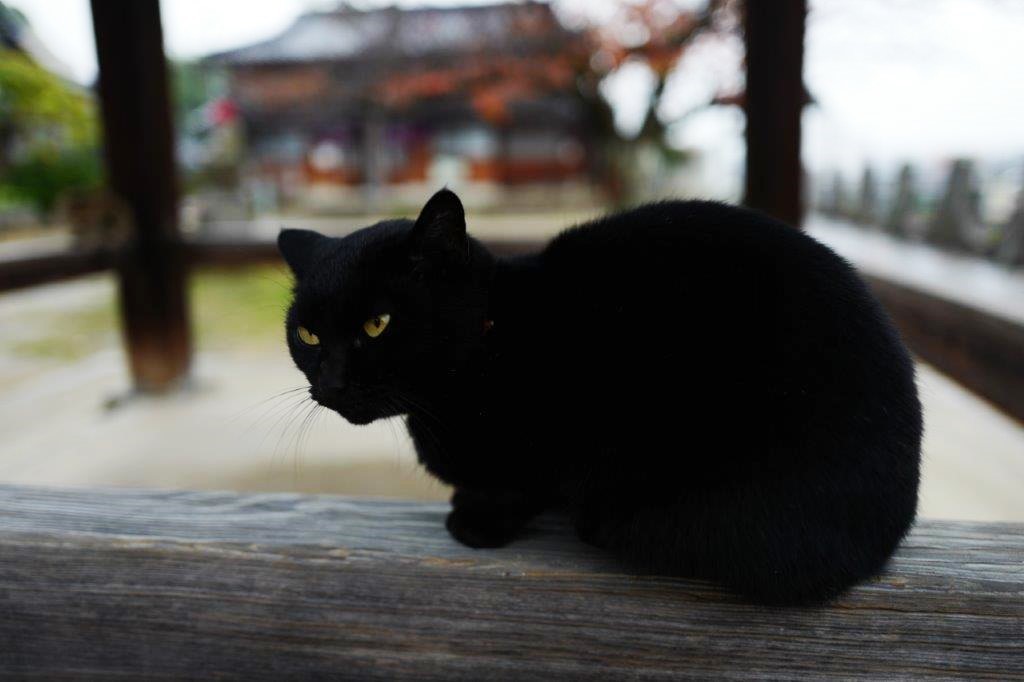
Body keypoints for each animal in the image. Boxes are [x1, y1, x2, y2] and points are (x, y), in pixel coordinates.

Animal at [278, 188, 921, 602]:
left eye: (377, 324)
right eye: (307, 335)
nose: (330, 383)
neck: (494, 340)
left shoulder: (553, 448)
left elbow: (519, 484)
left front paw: (477, 522)